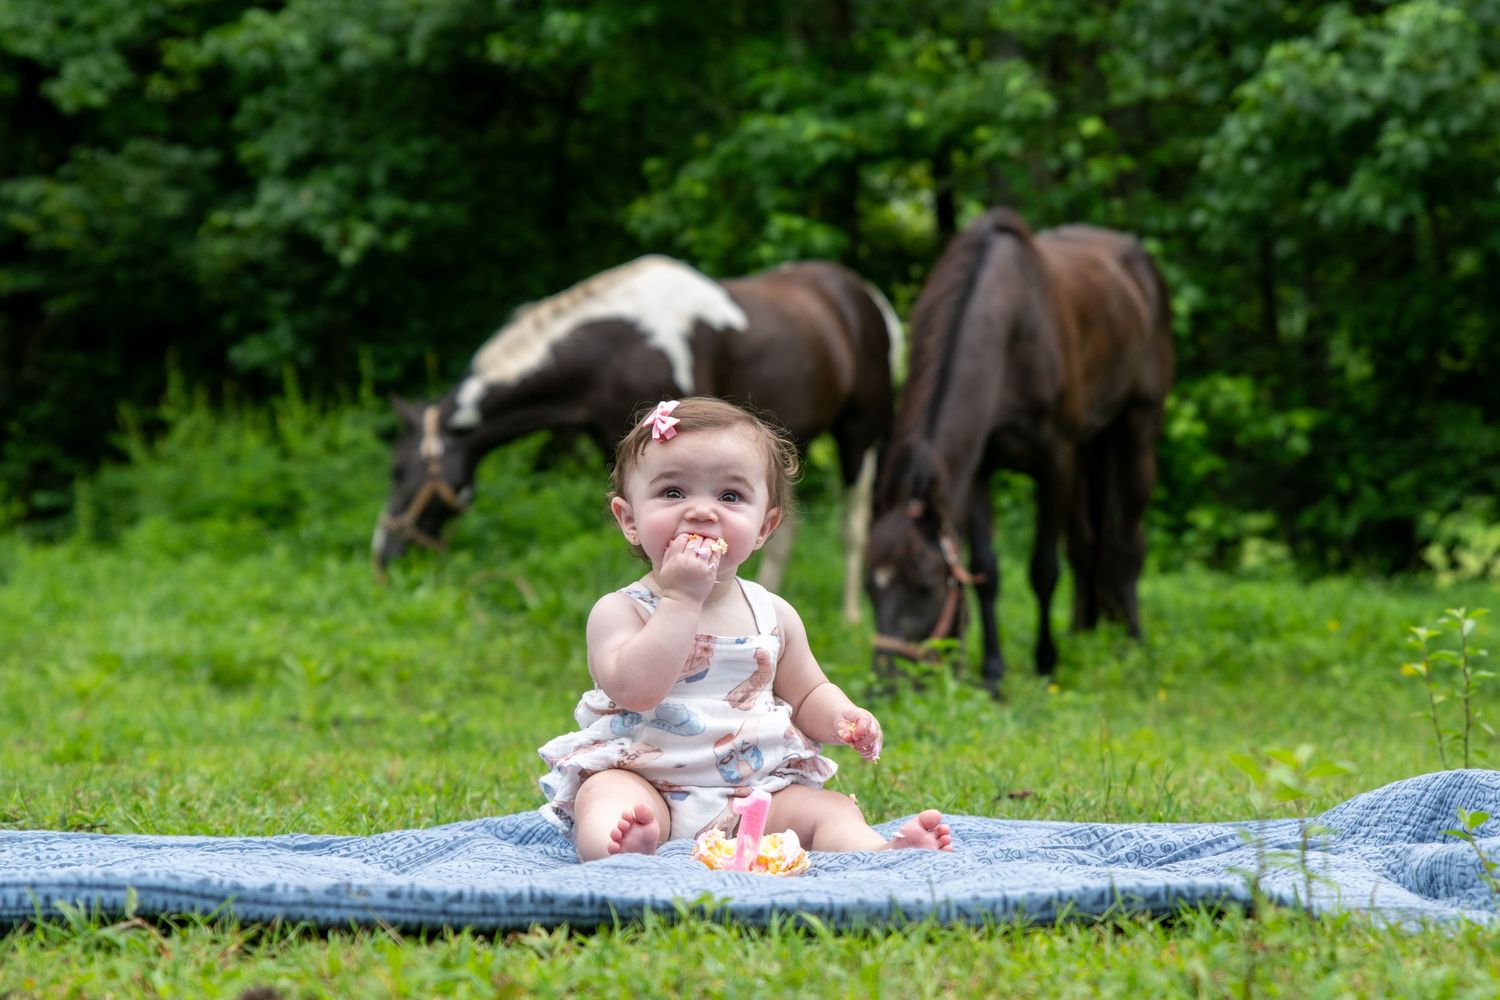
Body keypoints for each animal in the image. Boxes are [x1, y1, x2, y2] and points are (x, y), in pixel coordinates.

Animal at [372, 254, 902, 620]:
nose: (384, 556)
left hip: (860, 435)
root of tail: (866, 298)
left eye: (400, 471)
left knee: (854, 522)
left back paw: (851, 615)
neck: (613, 345)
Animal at [864, 207, 1173, 692]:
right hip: (1090, 446)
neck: (1012, 328)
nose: (885, 686)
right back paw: (1082, 632)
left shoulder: (1056, 462)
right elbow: (986, 571)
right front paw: (993, 673)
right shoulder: (978, 471)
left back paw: (1131, 640)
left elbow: (1043, 569)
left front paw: (1046, 661)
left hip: (1136, 430)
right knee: (1085, 544)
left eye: (925, 587)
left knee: (1126, 539)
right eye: (869, 588)